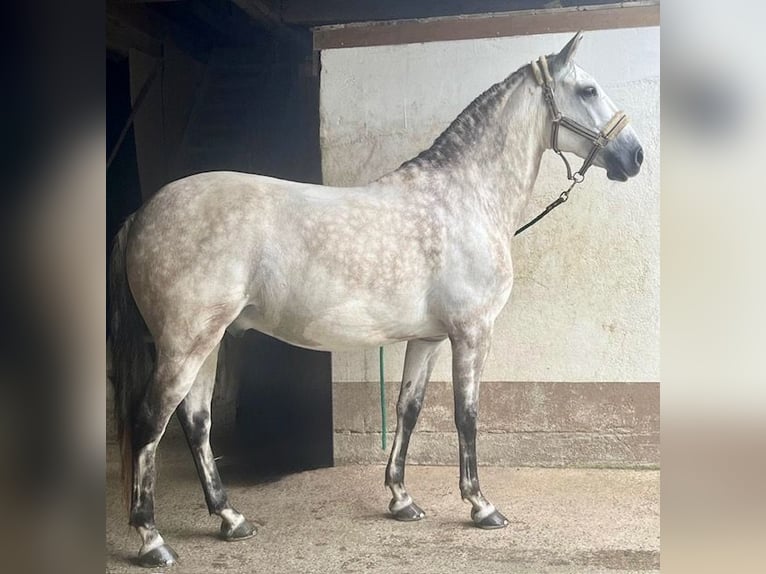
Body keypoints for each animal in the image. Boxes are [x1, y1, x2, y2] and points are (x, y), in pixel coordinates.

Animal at [109, 32, 644, 567]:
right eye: (589, 90)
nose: (635, 155)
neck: (466, 198)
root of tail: (142, 213)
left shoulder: (428, 339)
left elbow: (409, 408)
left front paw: (402, 499)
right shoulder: (472, 333)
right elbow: (466, 415)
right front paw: (481, 505)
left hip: (210, 341)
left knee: (196, 422)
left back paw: (231, 518)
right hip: (185, 344)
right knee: (150, 421)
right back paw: (153, 539)